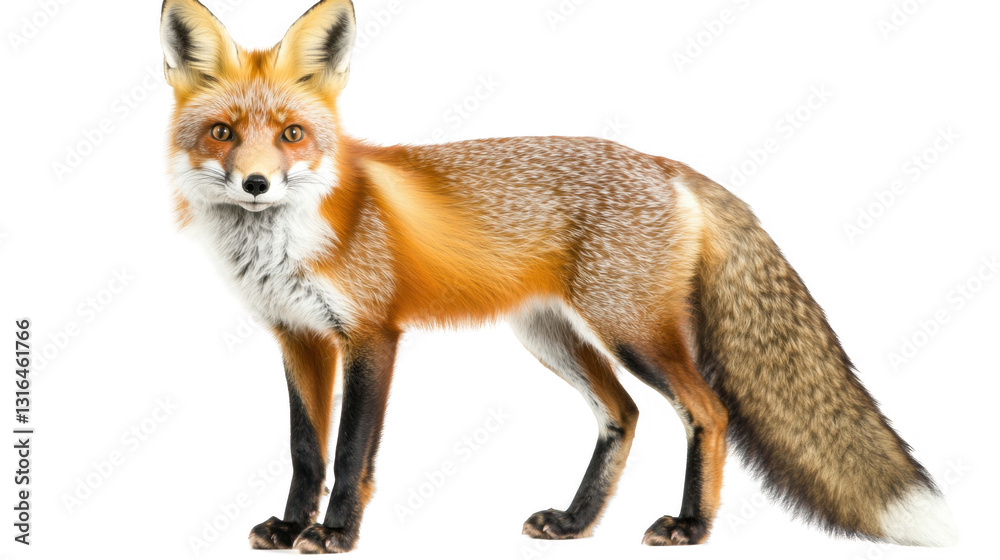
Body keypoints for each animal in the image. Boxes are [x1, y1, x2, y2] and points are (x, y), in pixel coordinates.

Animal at [160, 0, 958, 553]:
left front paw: (333, 534)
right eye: (223, 133)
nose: (257, 184)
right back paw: (576, 522)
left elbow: (351, 452)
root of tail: (668, 165)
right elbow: (305, 449)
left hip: (633, 333)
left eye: (292, 134)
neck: (286, 241)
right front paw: (289, 527)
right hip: (550, 336)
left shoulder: (371, 336)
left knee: (707, 411)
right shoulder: (297, 337)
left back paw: (691, 526)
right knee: (623, 414)